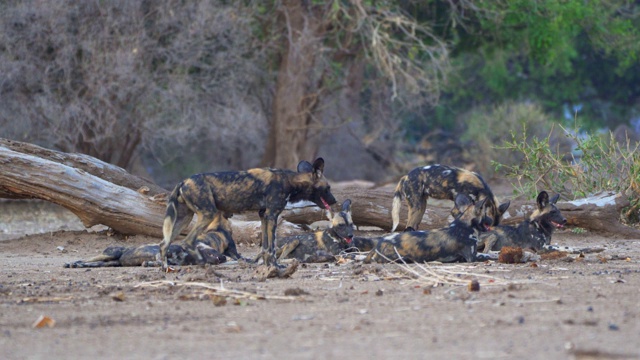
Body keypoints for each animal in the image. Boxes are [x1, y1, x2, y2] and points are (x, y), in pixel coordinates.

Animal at [65, 211, 238, 268]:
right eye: (212, 251)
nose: (224, 257)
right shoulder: (161, 254)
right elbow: (161, 260)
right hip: (110, 253)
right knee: (87, 259)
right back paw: (72, 263)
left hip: (110, 262)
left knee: (92, 263)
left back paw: (77, 265)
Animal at [159, 156, 336, 268]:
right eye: (328, 188)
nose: (334, 201)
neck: (290, 181)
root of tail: (184, 181)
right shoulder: (272, 215)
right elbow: (271, 247)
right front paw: (275, 266)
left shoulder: (264, 215)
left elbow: (265, 246)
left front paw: (267, 265)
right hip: (207, 214)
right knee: (187, 241)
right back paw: (202, 262)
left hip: (184, 219)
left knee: (164, 243)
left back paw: (165, 267)